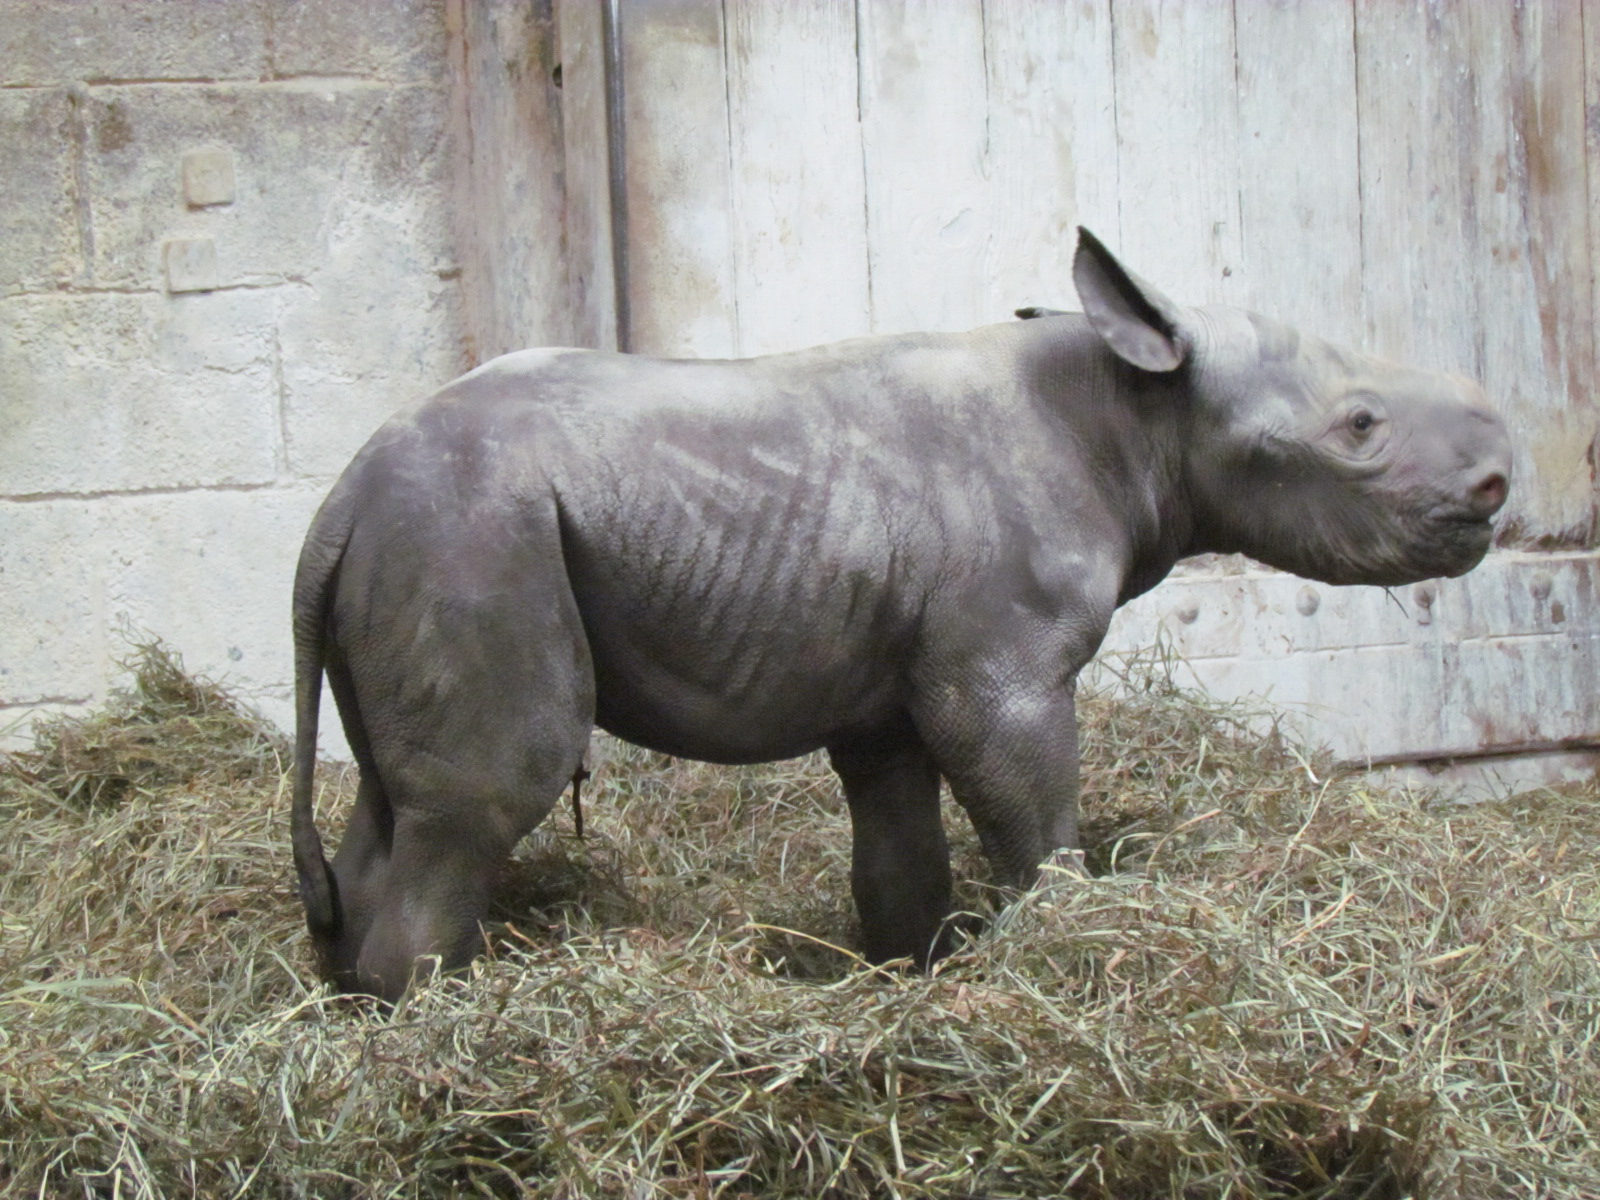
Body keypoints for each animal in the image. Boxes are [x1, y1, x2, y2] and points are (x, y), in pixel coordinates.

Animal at [291, 229, 1510, 1000]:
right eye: (1360, 427)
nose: (1500, 483)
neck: (1137, 411)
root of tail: (338, 499)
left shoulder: (886, 688)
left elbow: (898, 856)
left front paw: (917, 972)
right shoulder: (1001, 666)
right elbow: (1032, 817)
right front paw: (1067, 941)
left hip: (416, 541)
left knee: (395, 805)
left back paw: (351, 1017)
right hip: (472, 535)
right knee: (493, 790)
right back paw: (444, 1032)